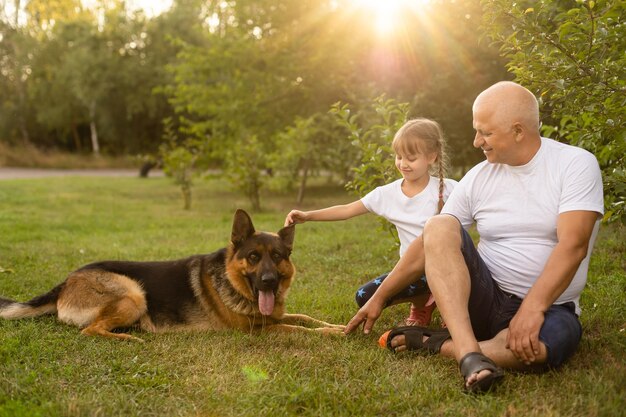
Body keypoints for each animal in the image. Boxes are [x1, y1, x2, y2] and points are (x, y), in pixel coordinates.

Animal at [0, 210, 342, 340]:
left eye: (278, 257)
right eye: (254, 257)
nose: (269, 281)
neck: (233, 283)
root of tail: (68, 280)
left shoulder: (274, 317)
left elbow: (305, 318)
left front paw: (336, 326)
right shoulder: (257, 330)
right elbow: (298, 328)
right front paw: (333, 334)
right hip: (133, 293)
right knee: (90, 330)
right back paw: (129, 339)